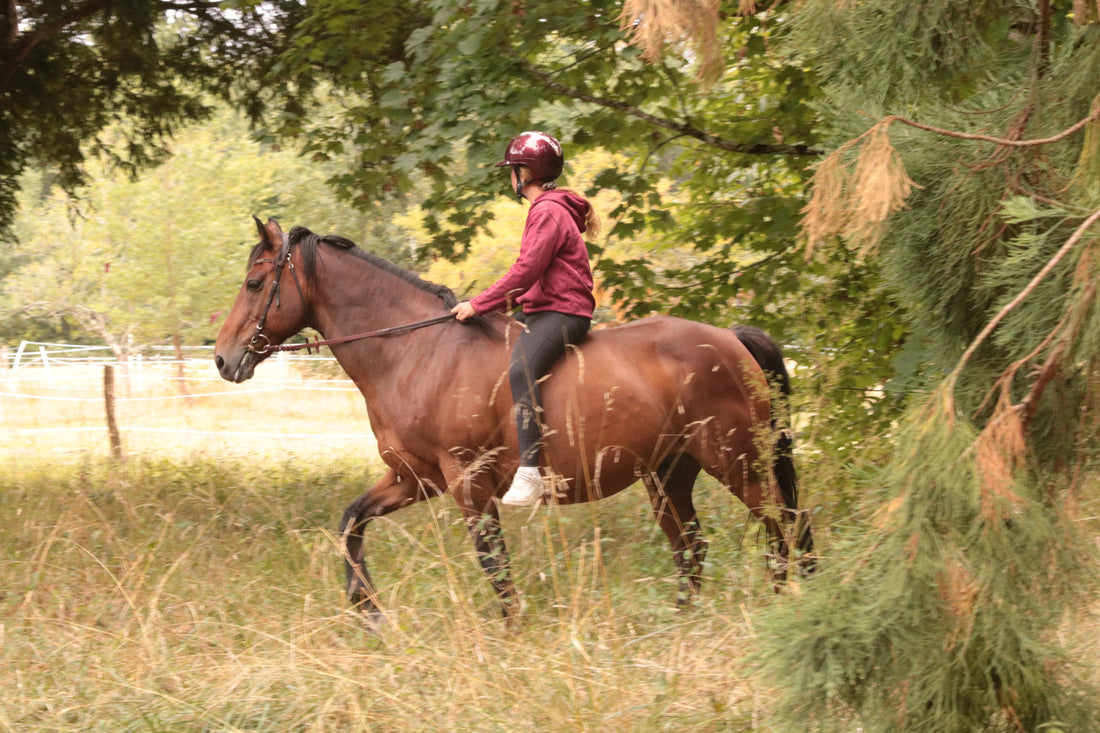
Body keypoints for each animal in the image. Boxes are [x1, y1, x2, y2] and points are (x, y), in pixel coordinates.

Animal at [214, 218, 814, 621]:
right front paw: (369, 610)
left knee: (784, 526)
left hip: (735, 460)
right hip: (670, 474)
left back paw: (784, 604)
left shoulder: (468, 482)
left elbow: (493, 564)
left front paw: (511, 631)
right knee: (692, 548)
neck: (417, 351)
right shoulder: (414, 479)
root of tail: (731, 339)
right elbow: (351, 522)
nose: (222, 359)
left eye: (253, 284)